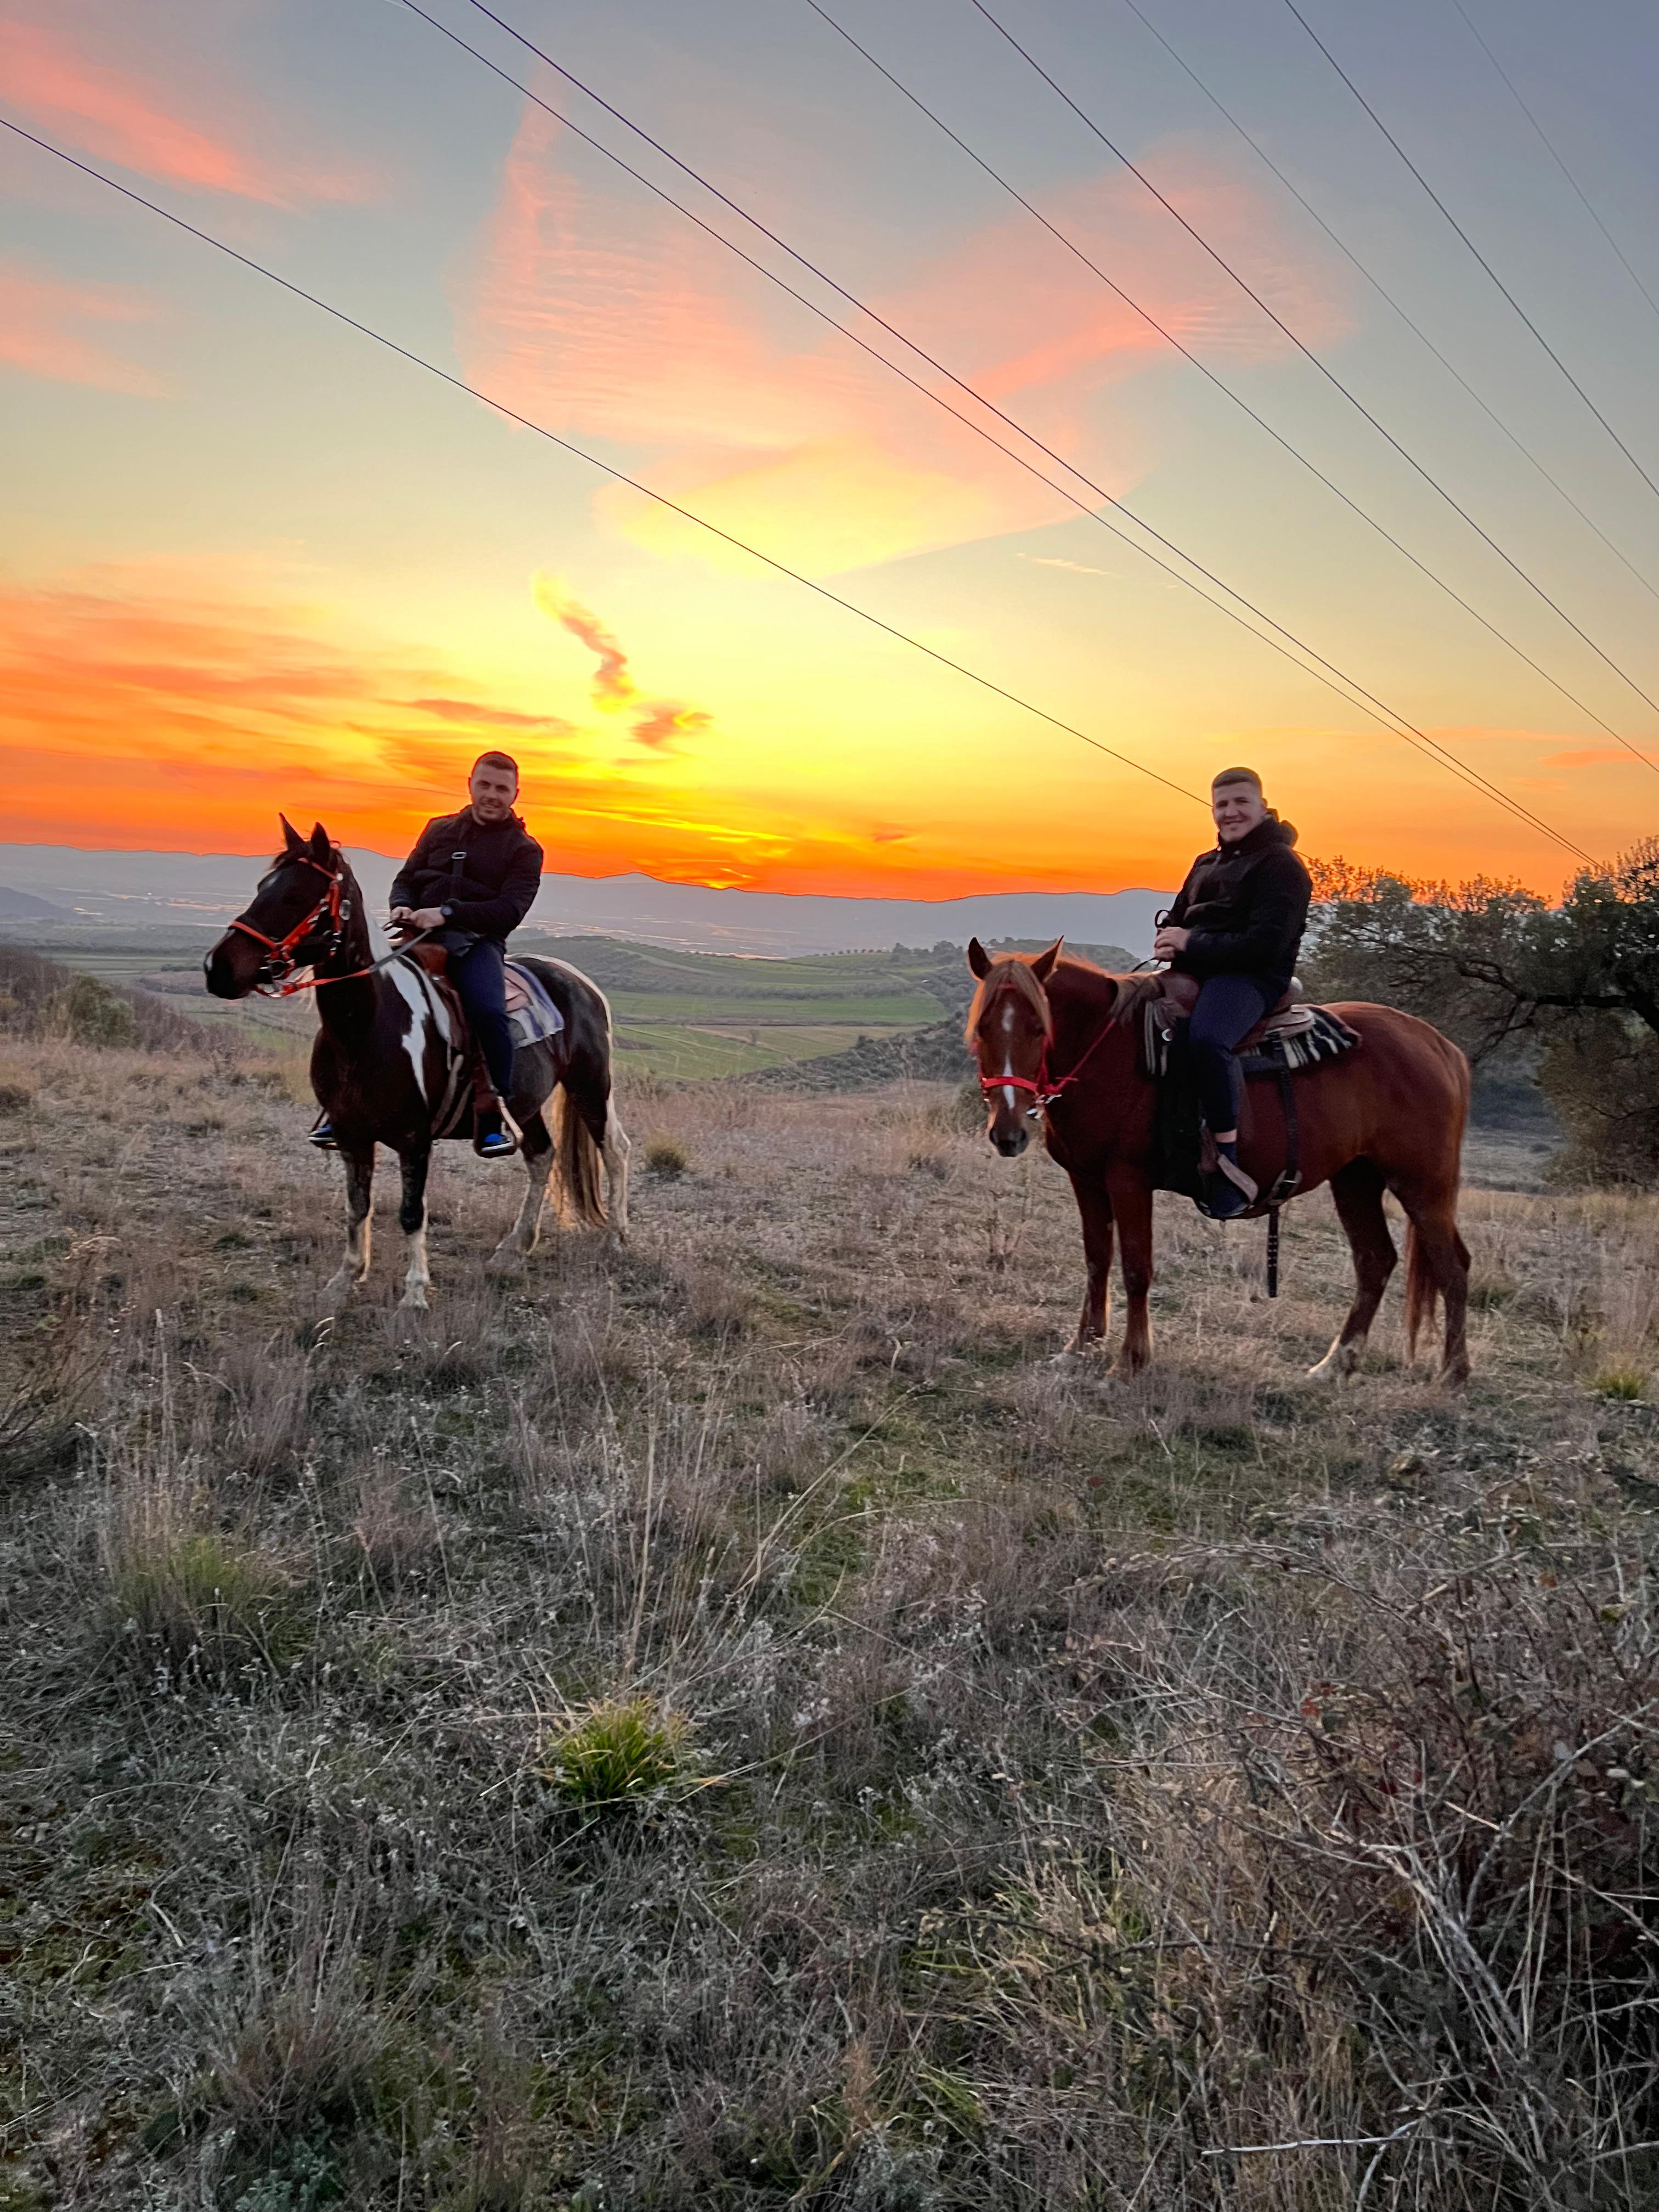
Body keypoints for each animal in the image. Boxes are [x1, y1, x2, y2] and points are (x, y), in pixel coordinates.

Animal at [204, 818, 630, 1309]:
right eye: (262, 887)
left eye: (295, 896)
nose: (218, 968)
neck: (366, 1027)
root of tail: (580, 982)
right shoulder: (350, 1134)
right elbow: (357, 1207)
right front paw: (345, 1279)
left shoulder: (415, 1138)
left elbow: (412, 1212)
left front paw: (414, 1293)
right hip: (524, 1106)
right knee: (541, 1156)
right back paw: (513, 1249)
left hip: (590, 1084)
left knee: (614, 1150)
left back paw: (616, 1240)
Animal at [964, 938, 1471, 1385]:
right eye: (982, 1030)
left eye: (1038, 1029)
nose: (1008, 1133)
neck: (1109, 1053)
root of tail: (1441, 1047)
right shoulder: (1086, 1180)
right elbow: (1096, 1260)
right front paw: (1080, 1348)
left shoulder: (1128, 1180)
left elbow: (1136, 1267)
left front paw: (1129, 1363)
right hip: (1356, 1180)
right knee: (1375, 1260)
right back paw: (1336, 1365)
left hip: (1421, 1185)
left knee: (1452, 1266)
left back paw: (1453, 1374)